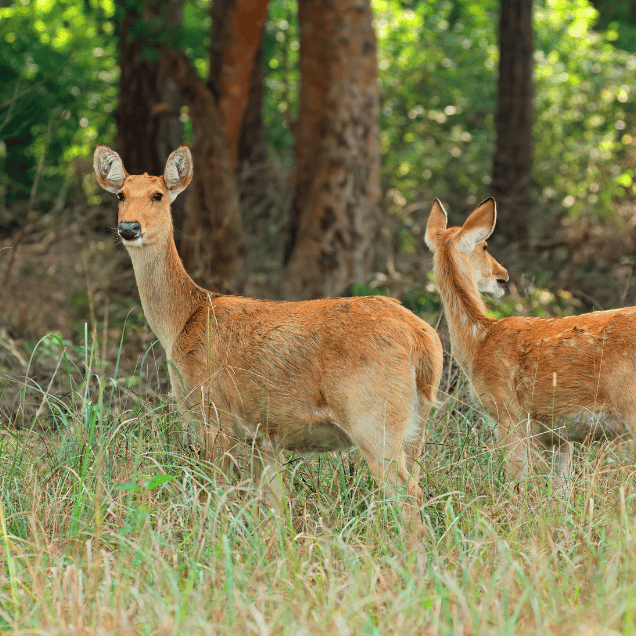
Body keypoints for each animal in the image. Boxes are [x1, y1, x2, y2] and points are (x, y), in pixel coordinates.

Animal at [93, 144, 442, 516]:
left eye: (157, 195)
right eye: (120, 195)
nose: (129, 228)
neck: (183, 320)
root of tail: (421, 337)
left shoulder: (213, 411)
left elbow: (219, 492)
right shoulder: (265, 437)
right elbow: (275, 507)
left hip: (372, 416)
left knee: (408, 494)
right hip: (417, 424)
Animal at [424, 196, 632, 490]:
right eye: (484, 246)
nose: (503, 276)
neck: (479, 339)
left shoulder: (508, 413)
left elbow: (517, 486)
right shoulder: (558, 436)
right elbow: (561, 490)